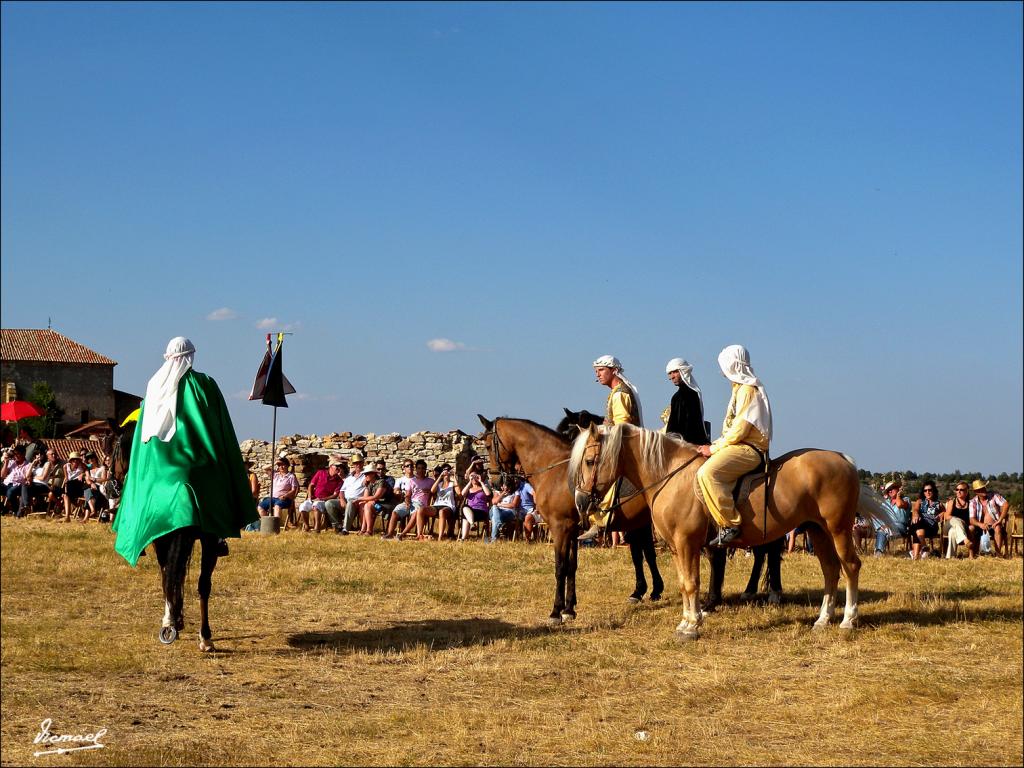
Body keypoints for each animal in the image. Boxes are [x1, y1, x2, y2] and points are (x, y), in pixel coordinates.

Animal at [112, 421, 224, 655]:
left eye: (113, 449)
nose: (114, 484)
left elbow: (170, 576)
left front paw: (173, 620)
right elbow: (175, 577)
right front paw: (174, 619)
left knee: (178, 576)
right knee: (191, 580)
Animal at [475, 415, 651, 626]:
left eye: (487, 445)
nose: (495, 483)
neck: (555, 469)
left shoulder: (559, 527)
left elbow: (560, 567)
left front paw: (556, 612)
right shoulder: (573, 530)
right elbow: (571, 566)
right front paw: (569, 609)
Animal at [573, 423, 901, 638]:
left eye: (589, 460)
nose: (580, 500)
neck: (670, 475)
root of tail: (843, 459)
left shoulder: (687, 543)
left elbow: (691, 583)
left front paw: (692, 625)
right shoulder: (679, 548)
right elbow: (684, 583)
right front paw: (687, 621)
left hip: (839, 529)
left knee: (850, 566)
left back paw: (848, 620)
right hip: (817, 531)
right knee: (831, 570)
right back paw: (822, 619)